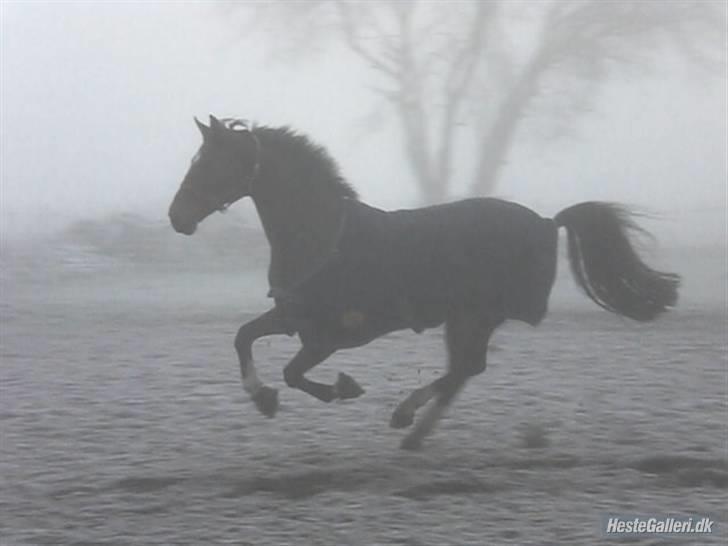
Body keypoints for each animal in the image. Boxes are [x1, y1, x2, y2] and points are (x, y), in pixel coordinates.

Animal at [168, 113, 680, 446]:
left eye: (211, 163)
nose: (177, 217)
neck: (324, 237)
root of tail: (546, 221)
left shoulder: (328, 337)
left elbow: (294, 373)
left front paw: (342, 388)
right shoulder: (292, 316)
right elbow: (243, 337)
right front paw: (262, 399)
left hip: (475, 315)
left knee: (465, 369)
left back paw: (407, 419)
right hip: (466, 318)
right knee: (466, 370)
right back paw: (413, 430)